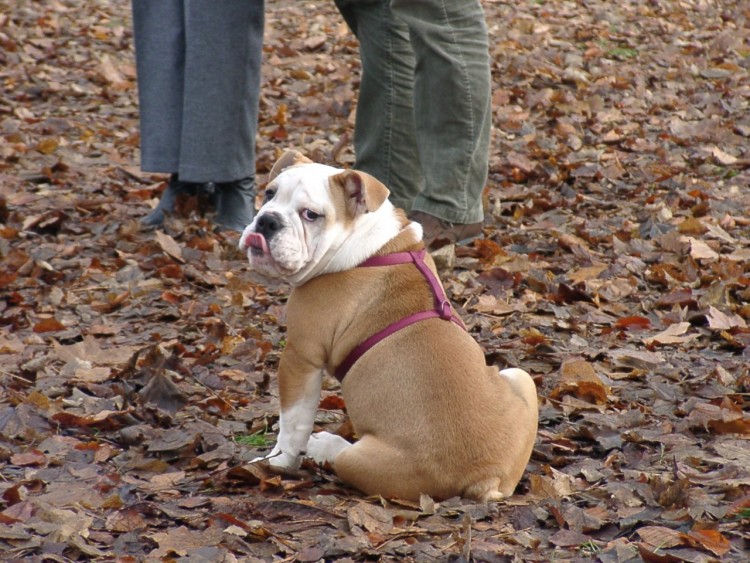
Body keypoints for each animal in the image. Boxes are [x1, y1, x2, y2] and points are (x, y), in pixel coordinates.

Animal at [238, 150, 536, 502]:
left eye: (311, 215)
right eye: (270, 194)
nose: (267, 220)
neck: (363, 242)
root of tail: (484, 478)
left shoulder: (300, 356)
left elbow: (293, 423)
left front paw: (276, 463)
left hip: (361, 461)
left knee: (341, 456)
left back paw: (323, 446)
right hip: (522, 378)